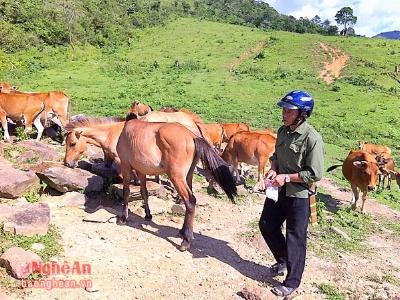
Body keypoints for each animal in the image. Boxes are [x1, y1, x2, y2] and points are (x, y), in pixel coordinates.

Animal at [115, 119, 236, 251]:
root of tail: (192, 136)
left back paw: (186, 241)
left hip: (176, 177)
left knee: (190, 201)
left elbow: (126, 191)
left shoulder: (125, 165)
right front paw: (148, 215)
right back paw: (182, 232)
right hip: (188, 176)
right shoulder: (141, 170)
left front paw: (123, 218)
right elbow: (144, 192)